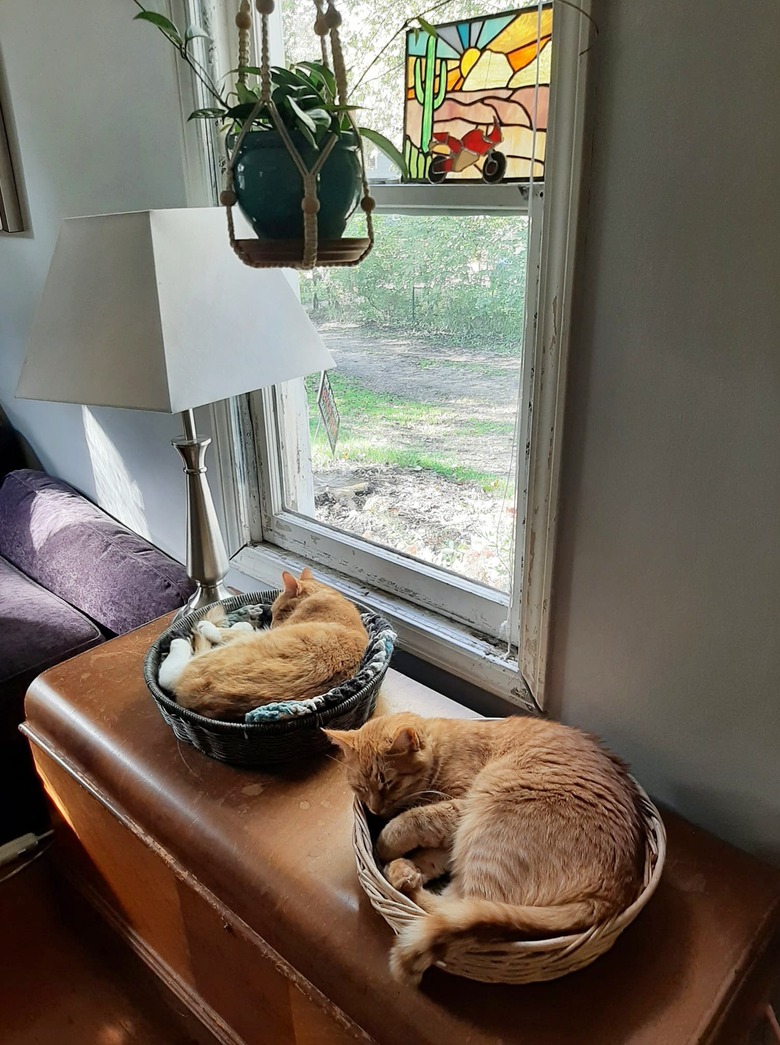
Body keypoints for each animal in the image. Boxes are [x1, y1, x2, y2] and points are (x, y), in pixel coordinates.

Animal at [157, 568, 368, 723]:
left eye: (277, 612)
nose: (272, 624)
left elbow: (239, 630)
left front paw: (213, 627)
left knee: (167, 675)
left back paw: (179, 641)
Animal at [324, 710, 644, 986]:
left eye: (388, 783)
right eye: (360, 788)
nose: (375, 811)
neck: (442, 752)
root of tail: (613, 893)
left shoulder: (459, 807)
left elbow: (415, 819)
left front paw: (386, 842)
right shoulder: (451, 837)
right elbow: (434, 855)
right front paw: (410, 864)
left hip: (490, 811)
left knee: (457, 905)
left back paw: (400, 873)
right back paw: (404, 874)